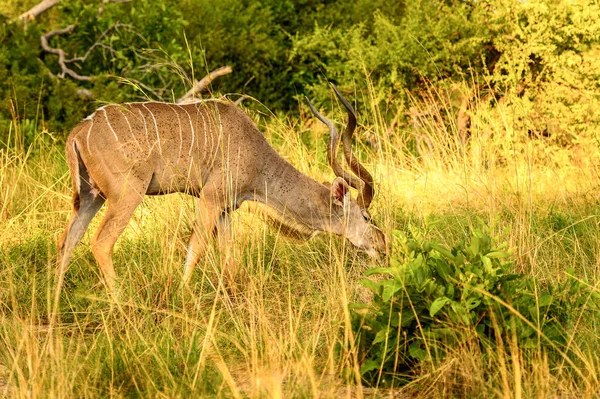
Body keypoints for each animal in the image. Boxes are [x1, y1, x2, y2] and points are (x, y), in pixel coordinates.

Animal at [56, 85, 384, 290]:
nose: (383, 246)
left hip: (91, 196)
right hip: (127, 194)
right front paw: (183, 293)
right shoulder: (210, 198)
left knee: (67, 242)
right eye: (366, 217)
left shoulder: (227, 209)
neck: (257, 157)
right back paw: (122, 303)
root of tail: (79, 131)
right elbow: (197, 247)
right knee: (100, 242)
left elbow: (229, 256)